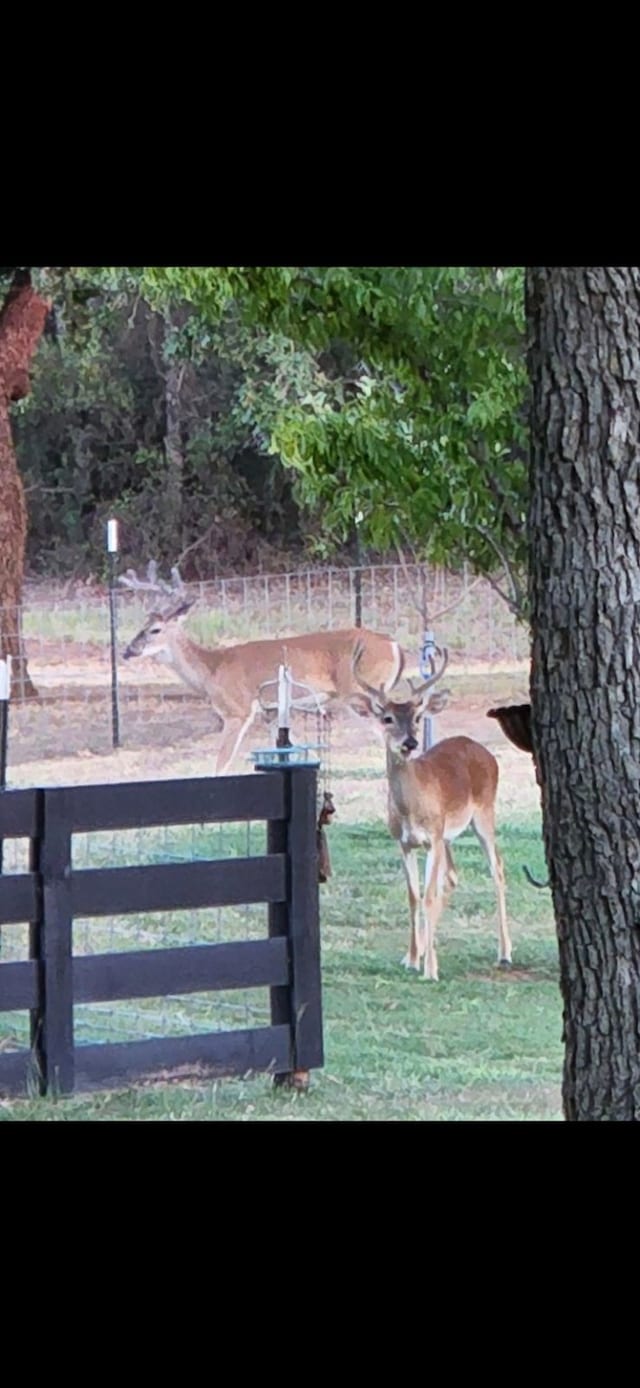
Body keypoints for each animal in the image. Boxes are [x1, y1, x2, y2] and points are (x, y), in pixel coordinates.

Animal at [120, 566, 405, 782]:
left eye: (155, 630)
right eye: (142, 625)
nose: (127, 650)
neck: (212, 670)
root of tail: (393, 645)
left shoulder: (238, 709)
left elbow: (221, 763)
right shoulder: (271, 711)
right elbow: (287, 751)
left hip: (359, 693)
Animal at [349, 635, 508, 977]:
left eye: (418, 718)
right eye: (387, 718)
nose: (410, 743)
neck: (411, 807)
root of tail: (483, 750)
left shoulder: (432, 837)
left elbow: (429, 896)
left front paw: (430, 969)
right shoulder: (404, 841)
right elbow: (413, 896)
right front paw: (412, 957)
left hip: (484, 813)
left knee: (497, 869)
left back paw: (504, 952)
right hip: (448, 835)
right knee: (452, 876)